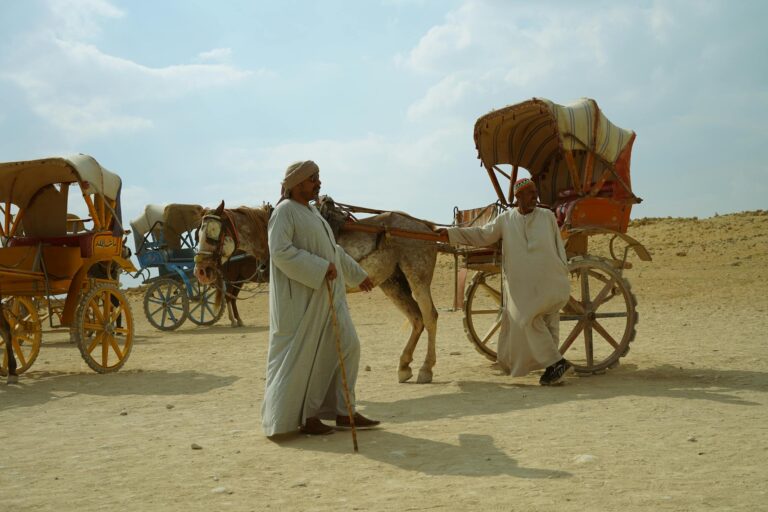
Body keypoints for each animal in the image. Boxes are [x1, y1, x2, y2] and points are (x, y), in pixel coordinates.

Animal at [193, 197, 439, 384]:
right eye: (197, 234)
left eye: (213, 232)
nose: (202, 271)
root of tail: (426, 226)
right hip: (391, 282)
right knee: (417, 318)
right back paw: (404, 366)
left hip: (417, 277)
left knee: (430, 316)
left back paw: (426, 369)